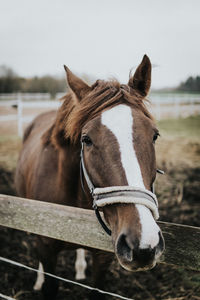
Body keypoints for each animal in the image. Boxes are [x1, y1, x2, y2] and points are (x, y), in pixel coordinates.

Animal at [15, 55, 166, 298]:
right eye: (86, 139)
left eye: (155, 136)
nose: (143, 245)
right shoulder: (45, 245)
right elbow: (49, 282)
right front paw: (41, 282)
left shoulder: (102, 257)